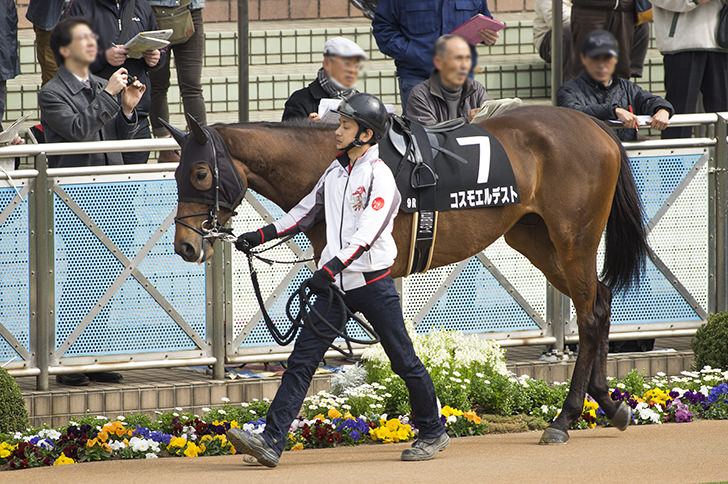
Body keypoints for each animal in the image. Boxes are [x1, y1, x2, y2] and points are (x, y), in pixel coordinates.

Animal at [164, 107, 648, 446]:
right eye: (175, 172)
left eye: (201, 173)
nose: (185, 246)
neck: (337, 163)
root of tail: (596, 126)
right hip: (533, 237)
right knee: (601, 301)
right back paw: (609, 405)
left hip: (573, 238)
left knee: (588, 315)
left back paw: (565, 418)